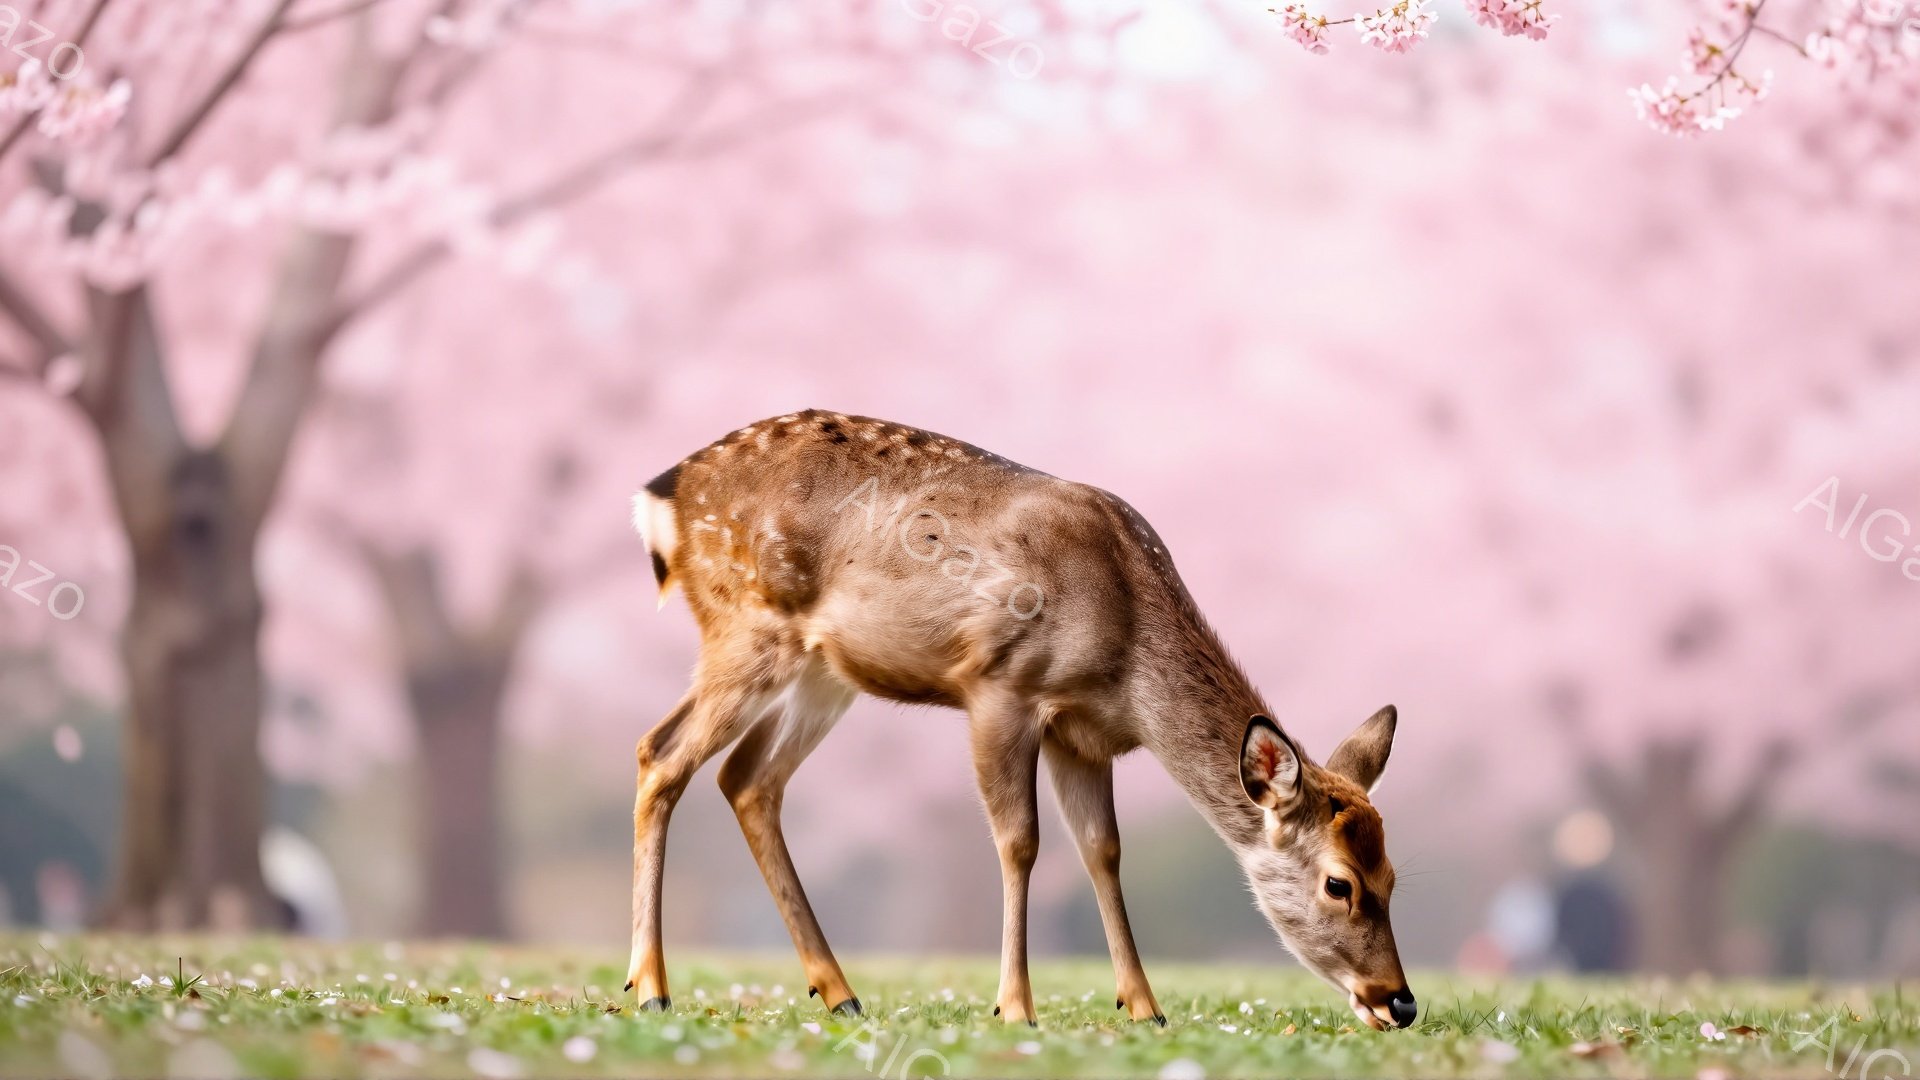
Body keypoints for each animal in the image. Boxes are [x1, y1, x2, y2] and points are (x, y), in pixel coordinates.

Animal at [625, 410, 1418, 1031]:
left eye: (1393, 874)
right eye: (1340, 883)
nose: (1400, 1001)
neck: (1126, 658)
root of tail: (661, 496)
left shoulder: (1083, 734)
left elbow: (1102, 849)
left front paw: (1144, 1005)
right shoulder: (1000, 686)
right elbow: (1021, 841)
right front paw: (1015, 1005)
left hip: (822, 672)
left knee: (747, 778)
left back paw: (840, 992)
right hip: (745, 626)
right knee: (662, 752)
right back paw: (651, 988)